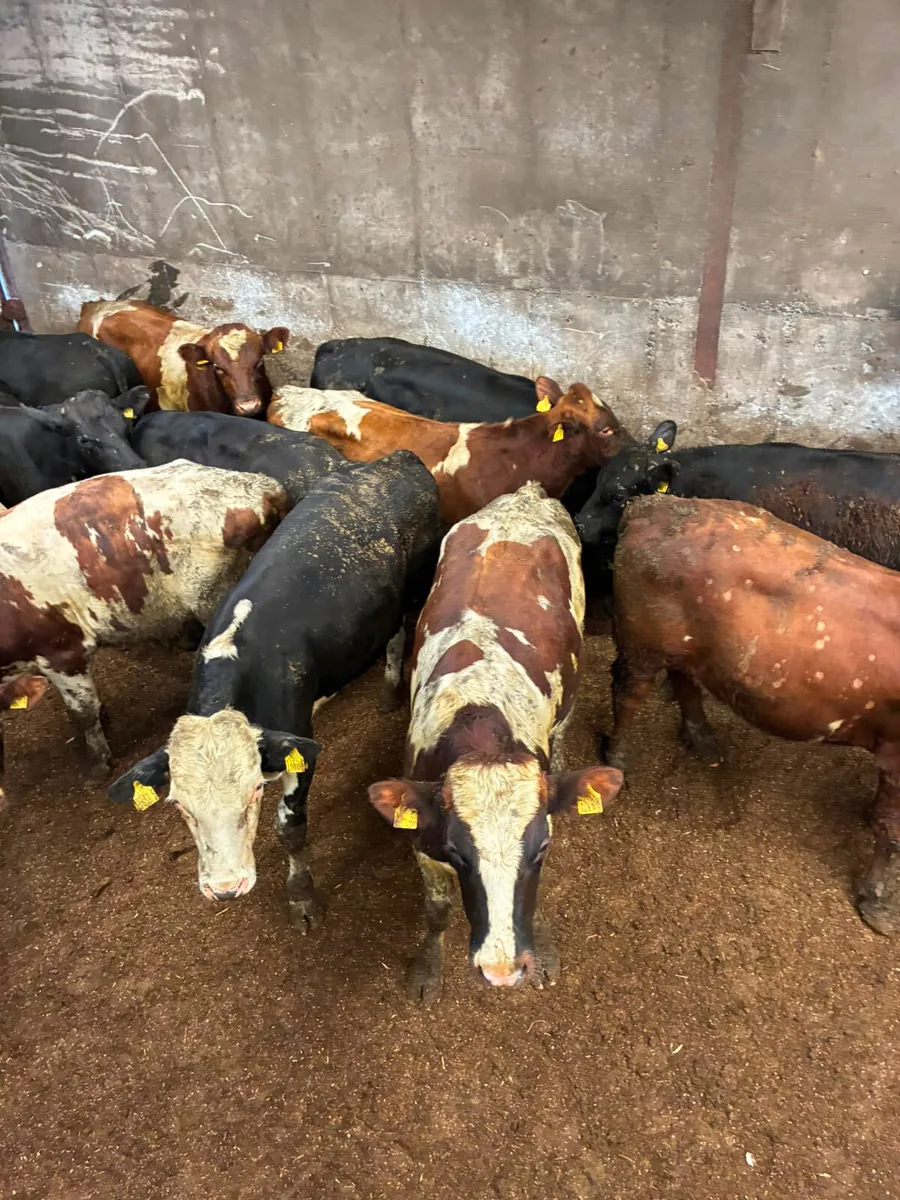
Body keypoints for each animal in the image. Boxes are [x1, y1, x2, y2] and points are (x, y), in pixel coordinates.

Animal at [107, 452, 442, 923]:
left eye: (253, 794)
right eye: (179, 805)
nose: (225, 889)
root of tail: (397, 459)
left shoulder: (300, 748)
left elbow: (290, 828)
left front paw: (302, 896)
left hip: (415, 587)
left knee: (399, 635)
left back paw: (391, 689)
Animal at [367, 483, 623, 1000]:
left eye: (540, 850)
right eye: (458, 853)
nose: (502, 969)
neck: (478, 712)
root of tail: (528, 494)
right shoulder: (424, 846)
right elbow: (437, 912)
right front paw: (428, 968)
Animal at [607, 493, 900, 937]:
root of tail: (652, 504)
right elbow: (892, 831)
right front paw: (878, 903)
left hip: (686, 648)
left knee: (684, 680)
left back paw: (703, 740)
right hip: (643, 645)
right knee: (626, 694)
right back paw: (618, 759)